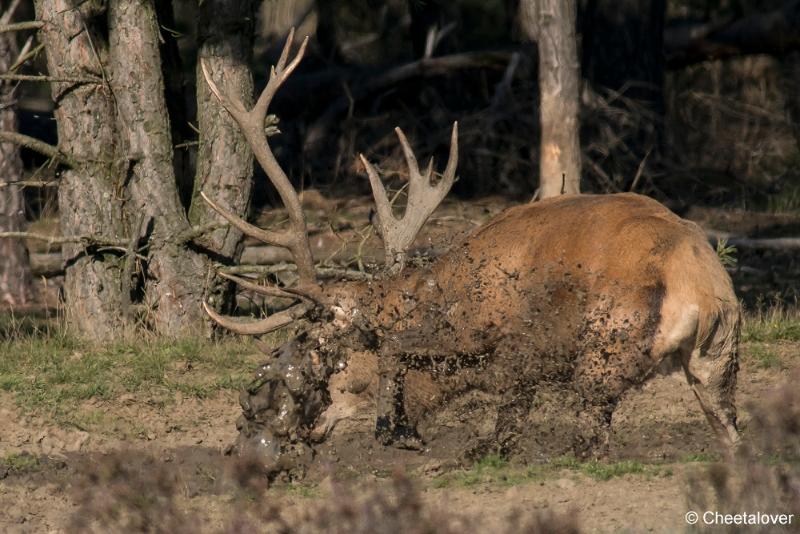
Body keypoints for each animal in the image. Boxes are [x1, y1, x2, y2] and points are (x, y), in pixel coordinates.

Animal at [197, 32, 740, 478]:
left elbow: (415, 363)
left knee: (592, 443)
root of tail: (707, 294)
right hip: (717, 365)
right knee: (730, 429)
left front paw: (400, 431)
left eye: (316, 346)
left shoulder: (508, 347)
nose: (255, 427)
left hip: (603, 353)